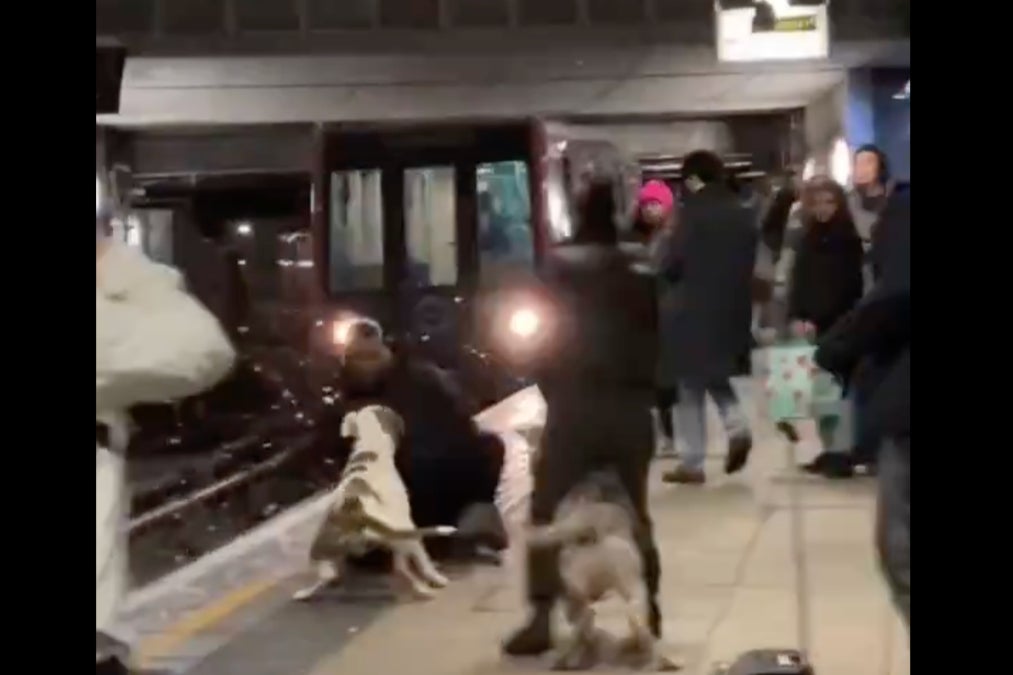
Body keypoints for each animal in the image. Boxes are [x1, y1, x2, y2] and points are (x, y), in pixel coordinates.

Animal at [295, 405, 457, 600]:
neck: (368, 449)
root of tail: (353, 515)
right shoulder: (404, 527)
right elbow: (417, 560)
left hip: (330, 552)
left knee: (328, 575)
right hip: (402, 533)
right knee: (411, 563)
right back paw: (432, 582)